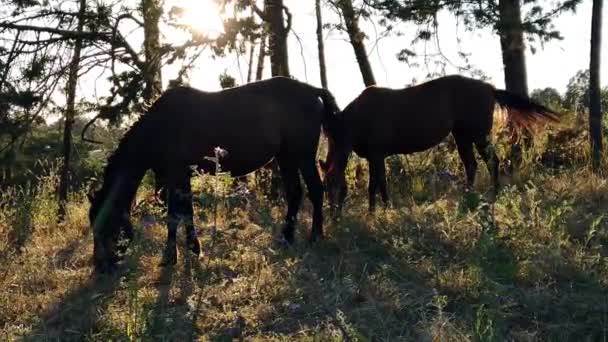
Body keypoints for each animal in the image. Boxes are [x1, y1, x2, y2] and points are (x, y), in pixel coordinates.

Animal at [88, 77, 340, 272]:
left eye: (106, 222)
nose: (100, 267)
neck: (159, 126)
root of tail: (312, 90)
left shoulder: (176, 174)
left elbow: (174, 215)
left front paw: (171, 256)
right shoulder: (180, 177)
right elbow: (186, 212)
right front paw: (192, 248)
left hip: (303, 156)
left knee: (316, 191)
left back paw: (315, 236)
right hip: (286, 157)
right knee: (295, 193)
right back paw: (286, 238)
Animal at [320, 76, 560, 212]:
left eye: (334, 184)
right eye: (324, 186)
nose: (334, 216)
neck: (356, 120)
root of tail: (490, 88)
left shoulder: (378, 156)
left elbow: (379, 184)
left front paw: (383, 211)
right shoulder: (373, 157)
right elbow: (374, 185)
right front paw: (373, 212)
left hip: (478, 135)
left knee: (492, 161)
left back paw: (493, 195)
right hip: (462, 136)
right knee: (471, 165)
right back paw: (468, 197)